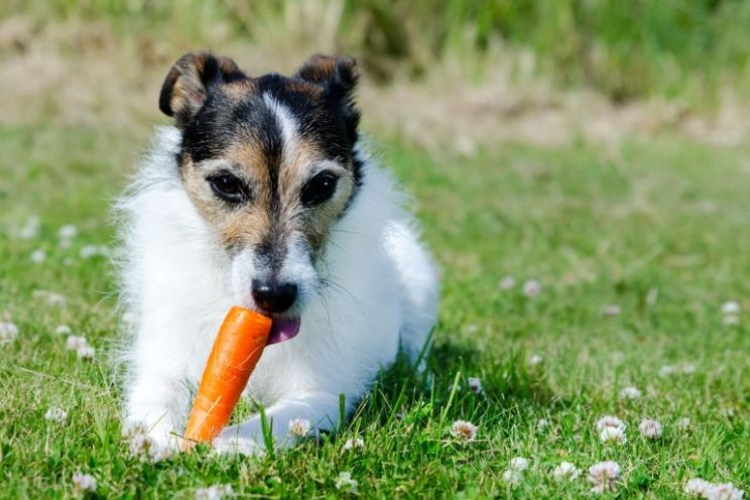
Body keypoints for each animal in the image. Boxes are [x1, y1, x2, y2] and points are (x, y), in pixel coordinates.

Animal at [117, 52, 440, 456]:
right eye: (226, 183)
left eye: (321, 184)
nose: (274, 295)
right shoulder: (165, 361)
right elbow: (155, 398)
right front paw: (156, 440)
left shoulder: (322, 392)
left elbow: (271, 421)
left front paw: (226, 444)